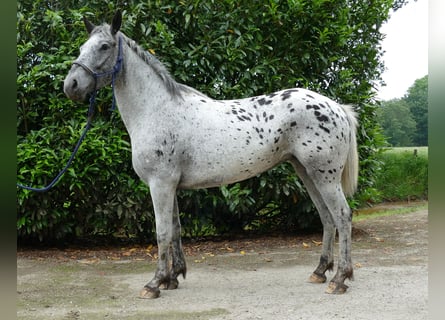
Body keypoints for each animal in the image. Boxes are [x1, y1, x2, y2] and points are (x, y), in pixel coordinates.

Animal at [63, 10, 358, 300]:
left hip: (324, 176)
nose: (71, 85)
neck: (156, 110)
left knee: (342, 215)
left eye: (104, 46)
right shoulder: (170, 186)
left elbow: (162, 232)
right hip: (305, 172)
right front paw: (173, 278)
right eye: (81, 47)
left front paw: (154, 283)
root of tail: (337, 108)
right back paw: (320, 272)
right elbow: (175, 230)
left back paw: (339, 279)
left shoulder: (160, 184)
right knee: (327, 216)